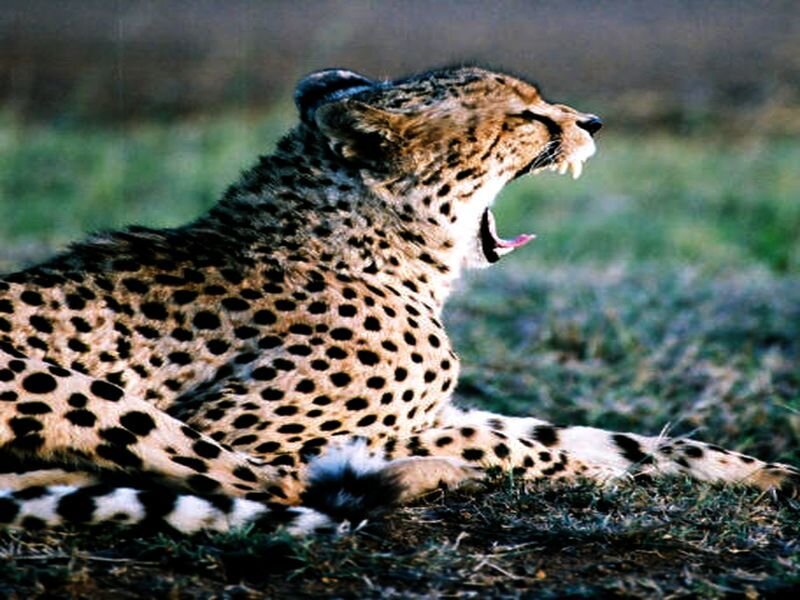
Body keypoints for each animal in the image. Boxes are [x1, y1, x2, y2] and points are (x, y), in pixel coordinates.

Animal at [1, 66, 798, 535]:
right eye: (527, 117)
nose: (592, 123)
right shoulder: (251, 427)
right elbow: (521, 447)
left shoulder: (430, 414)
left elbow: (584, 439)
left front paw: (762, 472)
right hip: (65, 387)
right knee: (278, 488)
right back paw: (426, 480)